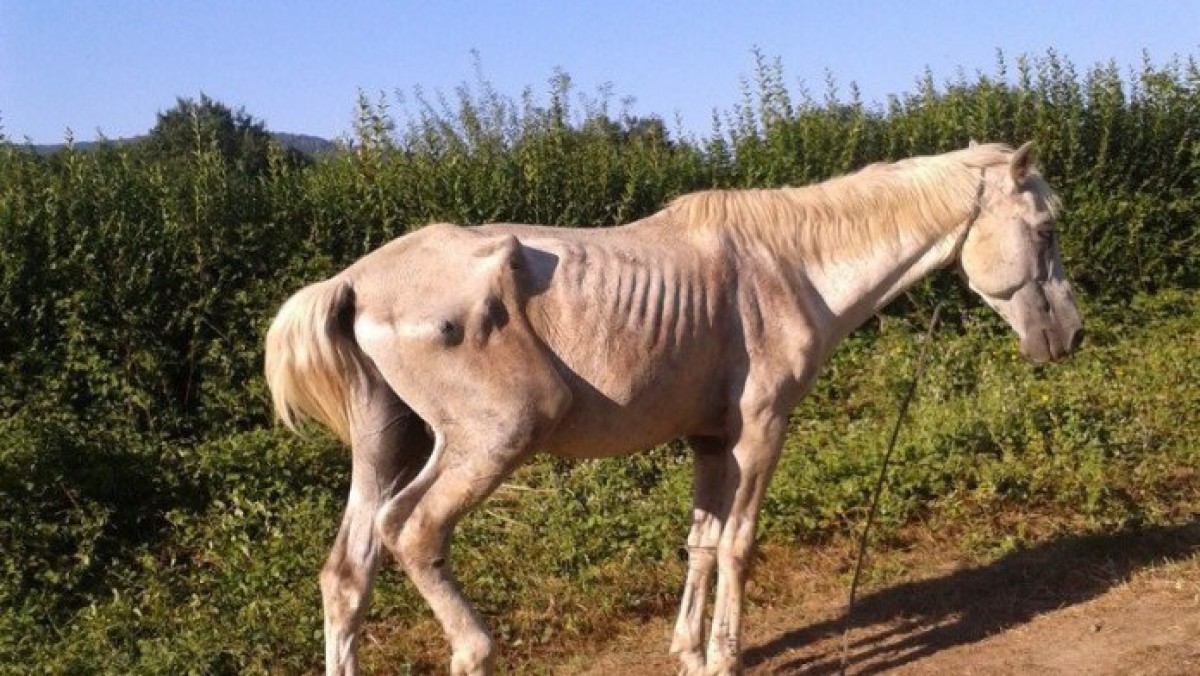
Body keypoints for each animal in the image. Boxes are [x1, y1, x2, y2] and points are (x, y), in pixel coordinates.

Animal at [264, 141, 1083, 675]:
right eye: (1045, 230)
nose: (1069, 334)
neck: (788, 267)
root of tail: (355, 282)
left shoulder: (710, 442)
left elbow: (700, 543)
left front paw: (688, 651)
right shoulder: (760, 432)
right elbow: (739, 545)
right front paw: (724, 657)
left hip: (386, 447)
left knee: (348, 573)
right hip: (489, 440)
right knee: (414, 533)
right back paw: (474, 646)